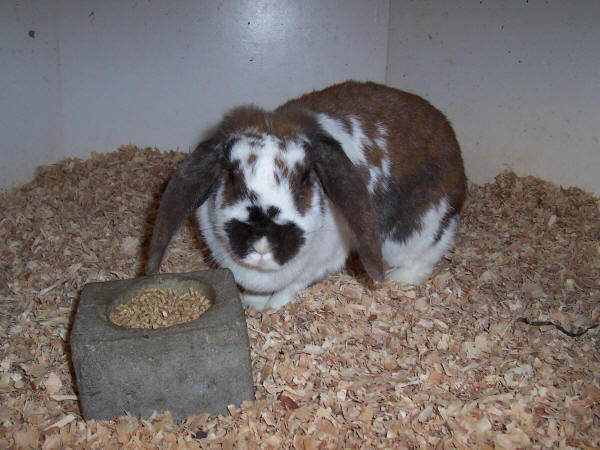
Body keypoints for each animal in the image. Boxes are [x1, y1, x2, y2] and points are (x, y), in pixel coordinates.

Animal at [147, 81, 466, 310]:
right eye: (232, 177)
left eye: (303, 178)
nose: (262, 245)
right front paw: (253, 305)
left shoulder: (318, 266)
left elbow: (287, 290)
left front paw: (272, 309)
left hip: (419, 231)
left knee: (425, 257)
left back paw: (400, 280)